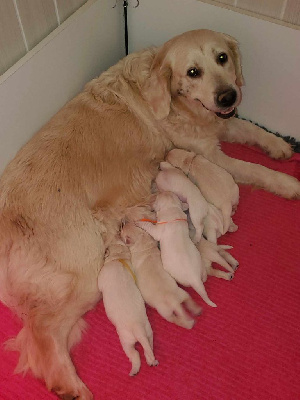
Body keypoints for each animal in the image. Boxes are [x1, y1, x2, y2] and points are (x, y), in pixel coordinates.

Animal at [98, 238, 159, 376]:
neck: (118, 259)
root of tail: (138, 328)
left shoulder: (102, 275)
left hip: (126, 340)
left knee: (135, 354)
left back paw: (134, 370)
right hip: (148, 331)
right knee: (148, 346)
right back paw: (150, 360)